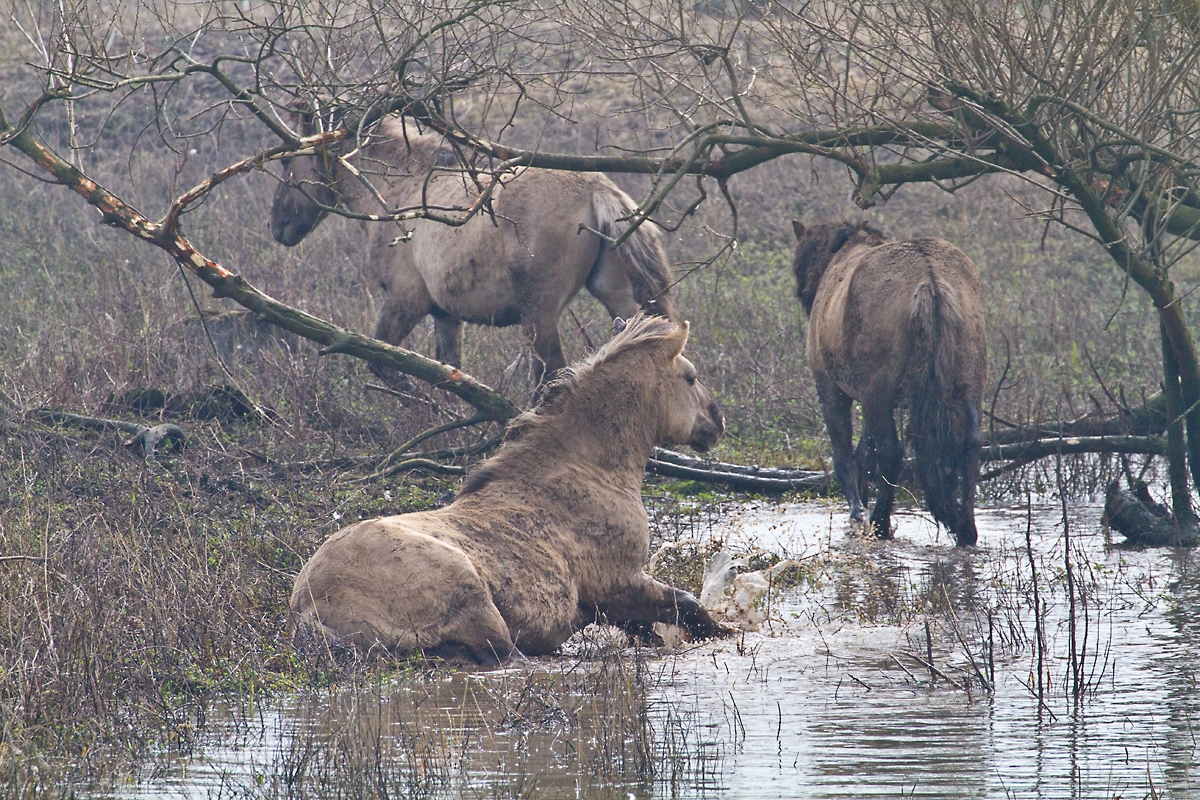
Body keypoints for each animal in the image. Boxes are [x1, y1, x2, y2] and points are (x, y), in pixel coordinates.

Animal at [270, 112, 676, 383]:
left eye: (289, 163)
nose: (275, 226)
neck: (396, 191)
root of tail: (598, 189)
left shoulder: (405, 299)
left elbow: (386, 364)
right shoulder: (445, 315)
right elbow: (448, 374)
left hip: (539, 312)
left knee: (549, 373)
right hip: (614, 294)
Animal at [285, 311, 724, 662]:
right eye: (690, 378)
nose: (717, 421)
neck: (590, 471)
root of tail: (306, 605)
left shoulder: (609, 604)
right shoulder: (620, 584)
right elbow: (689, 606)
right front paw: (727, 633)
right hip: (473, 599)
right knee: (507, 656)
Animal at [787, 219, 984, 546]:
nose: (805, 295)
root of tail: (931, 281)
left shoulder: (832, 389)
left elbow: (846, 456)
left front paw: (857, 512)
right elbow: (864, 454)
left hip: (877, 390)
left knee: (891, 451)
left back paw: (880, 521)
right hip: (969, 382)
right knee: (971, 444)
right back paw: (965, 527)